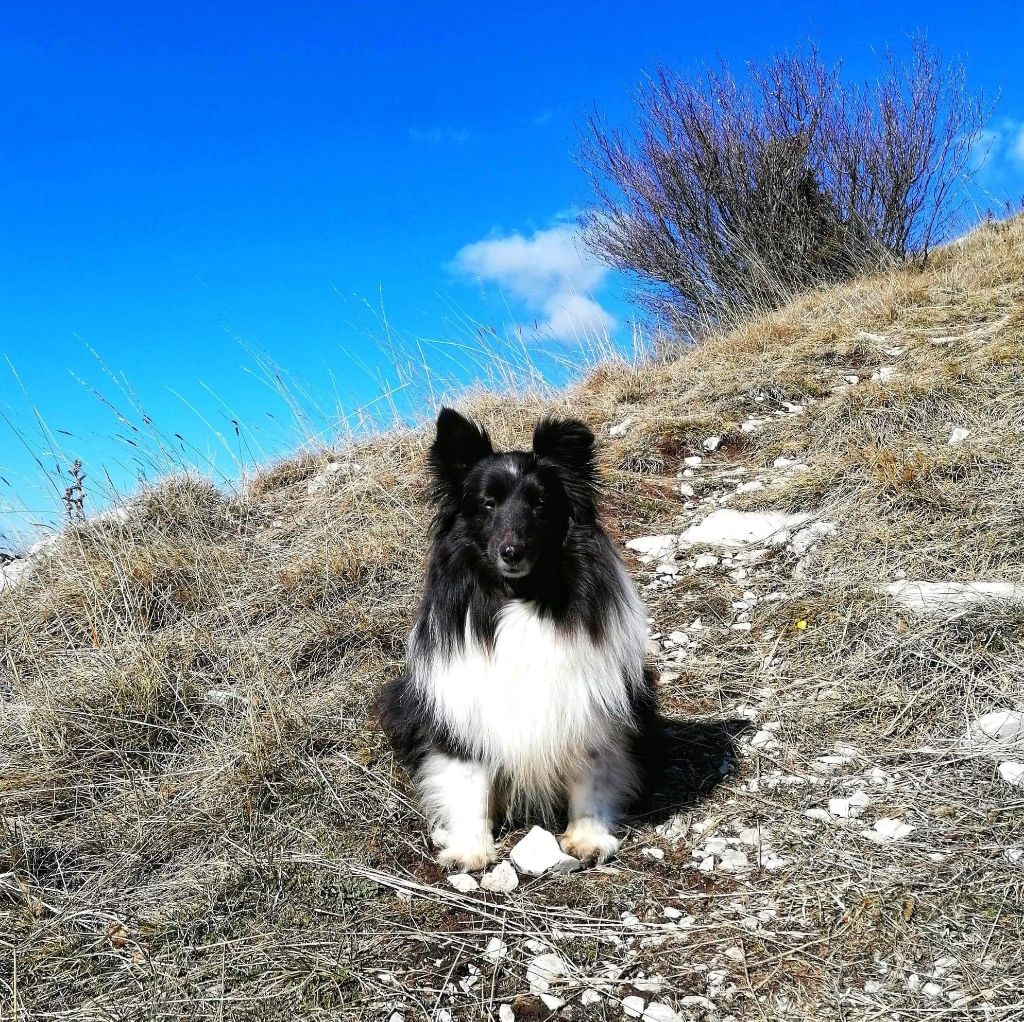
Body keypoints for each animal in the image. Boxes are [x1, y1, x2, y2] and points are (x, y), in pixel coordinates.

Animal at [378, 407, 655, 872]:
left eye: (541, 503)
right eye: (487, 504)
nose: (512, 552)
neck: (520, 598)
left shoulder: (589, 707)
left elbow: (592, 773)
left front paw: (588, 837)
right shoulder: (467, 712)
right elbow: (468, 782)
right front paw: (471, 849)